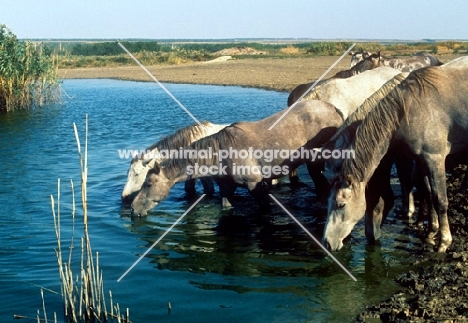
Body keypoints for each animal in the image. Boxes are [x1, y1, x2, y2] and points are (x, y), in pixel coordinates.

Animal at [130, 100, 342, 218]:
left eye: (148, 183)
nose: (132, 208)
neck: (220, 155)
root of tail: (334, 109)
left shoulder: (254, 185)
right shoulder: (227, 188)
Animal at [324, 65, 468, 253]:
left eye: (341, 204)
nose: (327, 242)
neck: (408, 109)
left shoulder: (434, 159)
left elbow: (440, 200)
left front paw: (443, 242)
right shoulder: (421, 160)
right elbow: (428, 194)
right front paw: (430, 233)